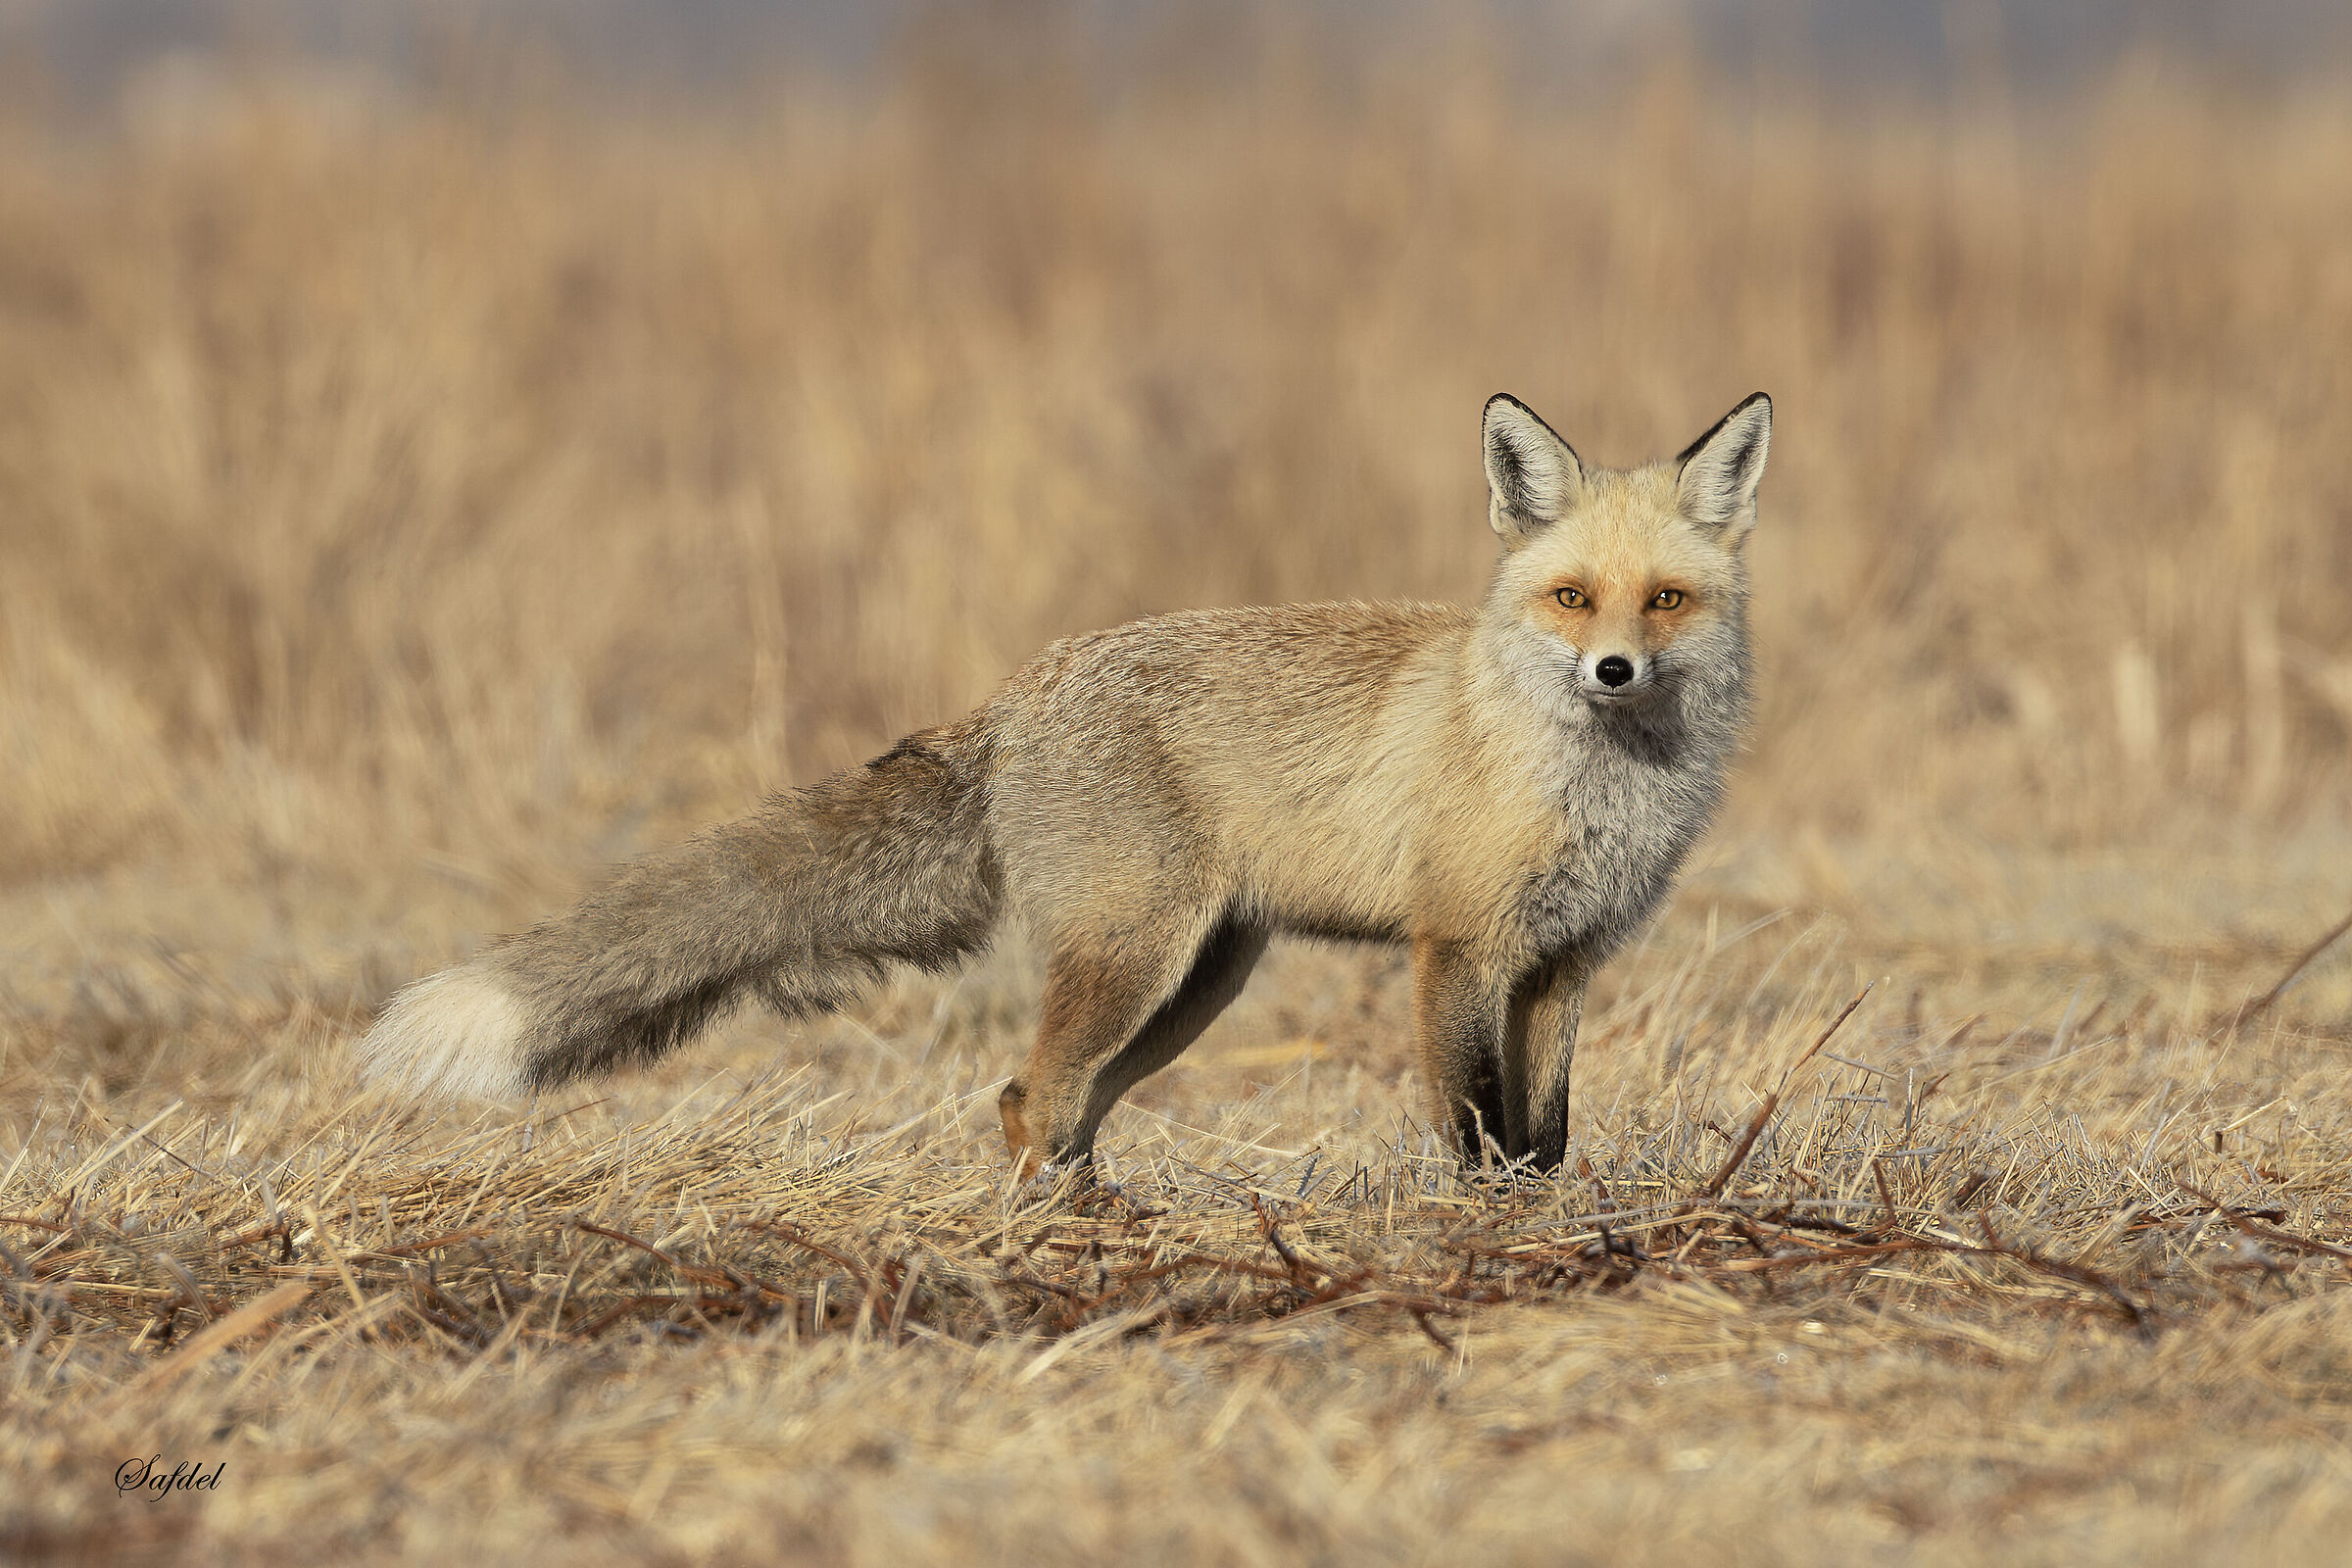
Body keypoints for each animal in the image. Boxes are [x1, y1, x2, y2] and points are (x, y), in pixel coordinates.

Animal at [362, 390, 1770, 1177]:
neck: (1594, 787)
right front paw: (1483, 1242)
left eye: (1667, 600)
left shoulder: (1565, 963)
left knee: (1062, 1109)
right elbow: (1476, 1131)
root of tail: (1011, 695)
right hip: (1139, 960)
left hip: (1193, 980)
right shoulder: (1460, 951)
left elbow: (1547, 1135)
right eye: (1573, 595)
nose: (1612, 670)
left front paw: (1552, 1231)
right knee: (1029, 1097)